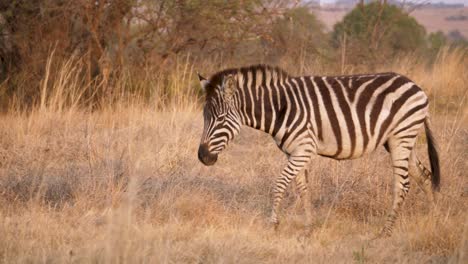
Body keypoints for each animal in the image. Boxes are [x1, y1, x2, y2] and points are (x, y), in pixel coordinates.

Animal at [197, 64, 438, 237]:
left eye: (220, 118)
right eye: (204, 117)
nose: (203, 157)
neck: (280, 108)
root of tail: (416, 87)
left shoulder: (304, 148)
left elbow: (279, 184)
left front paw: (273, 224)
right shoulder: (295, 152)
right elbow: (303, 189)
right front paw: (308, 227)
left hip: (400, 138)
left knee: (403, 184)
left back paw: (385, 232)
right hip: (402, 141)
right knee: (425, 176)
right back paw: (432, 217)